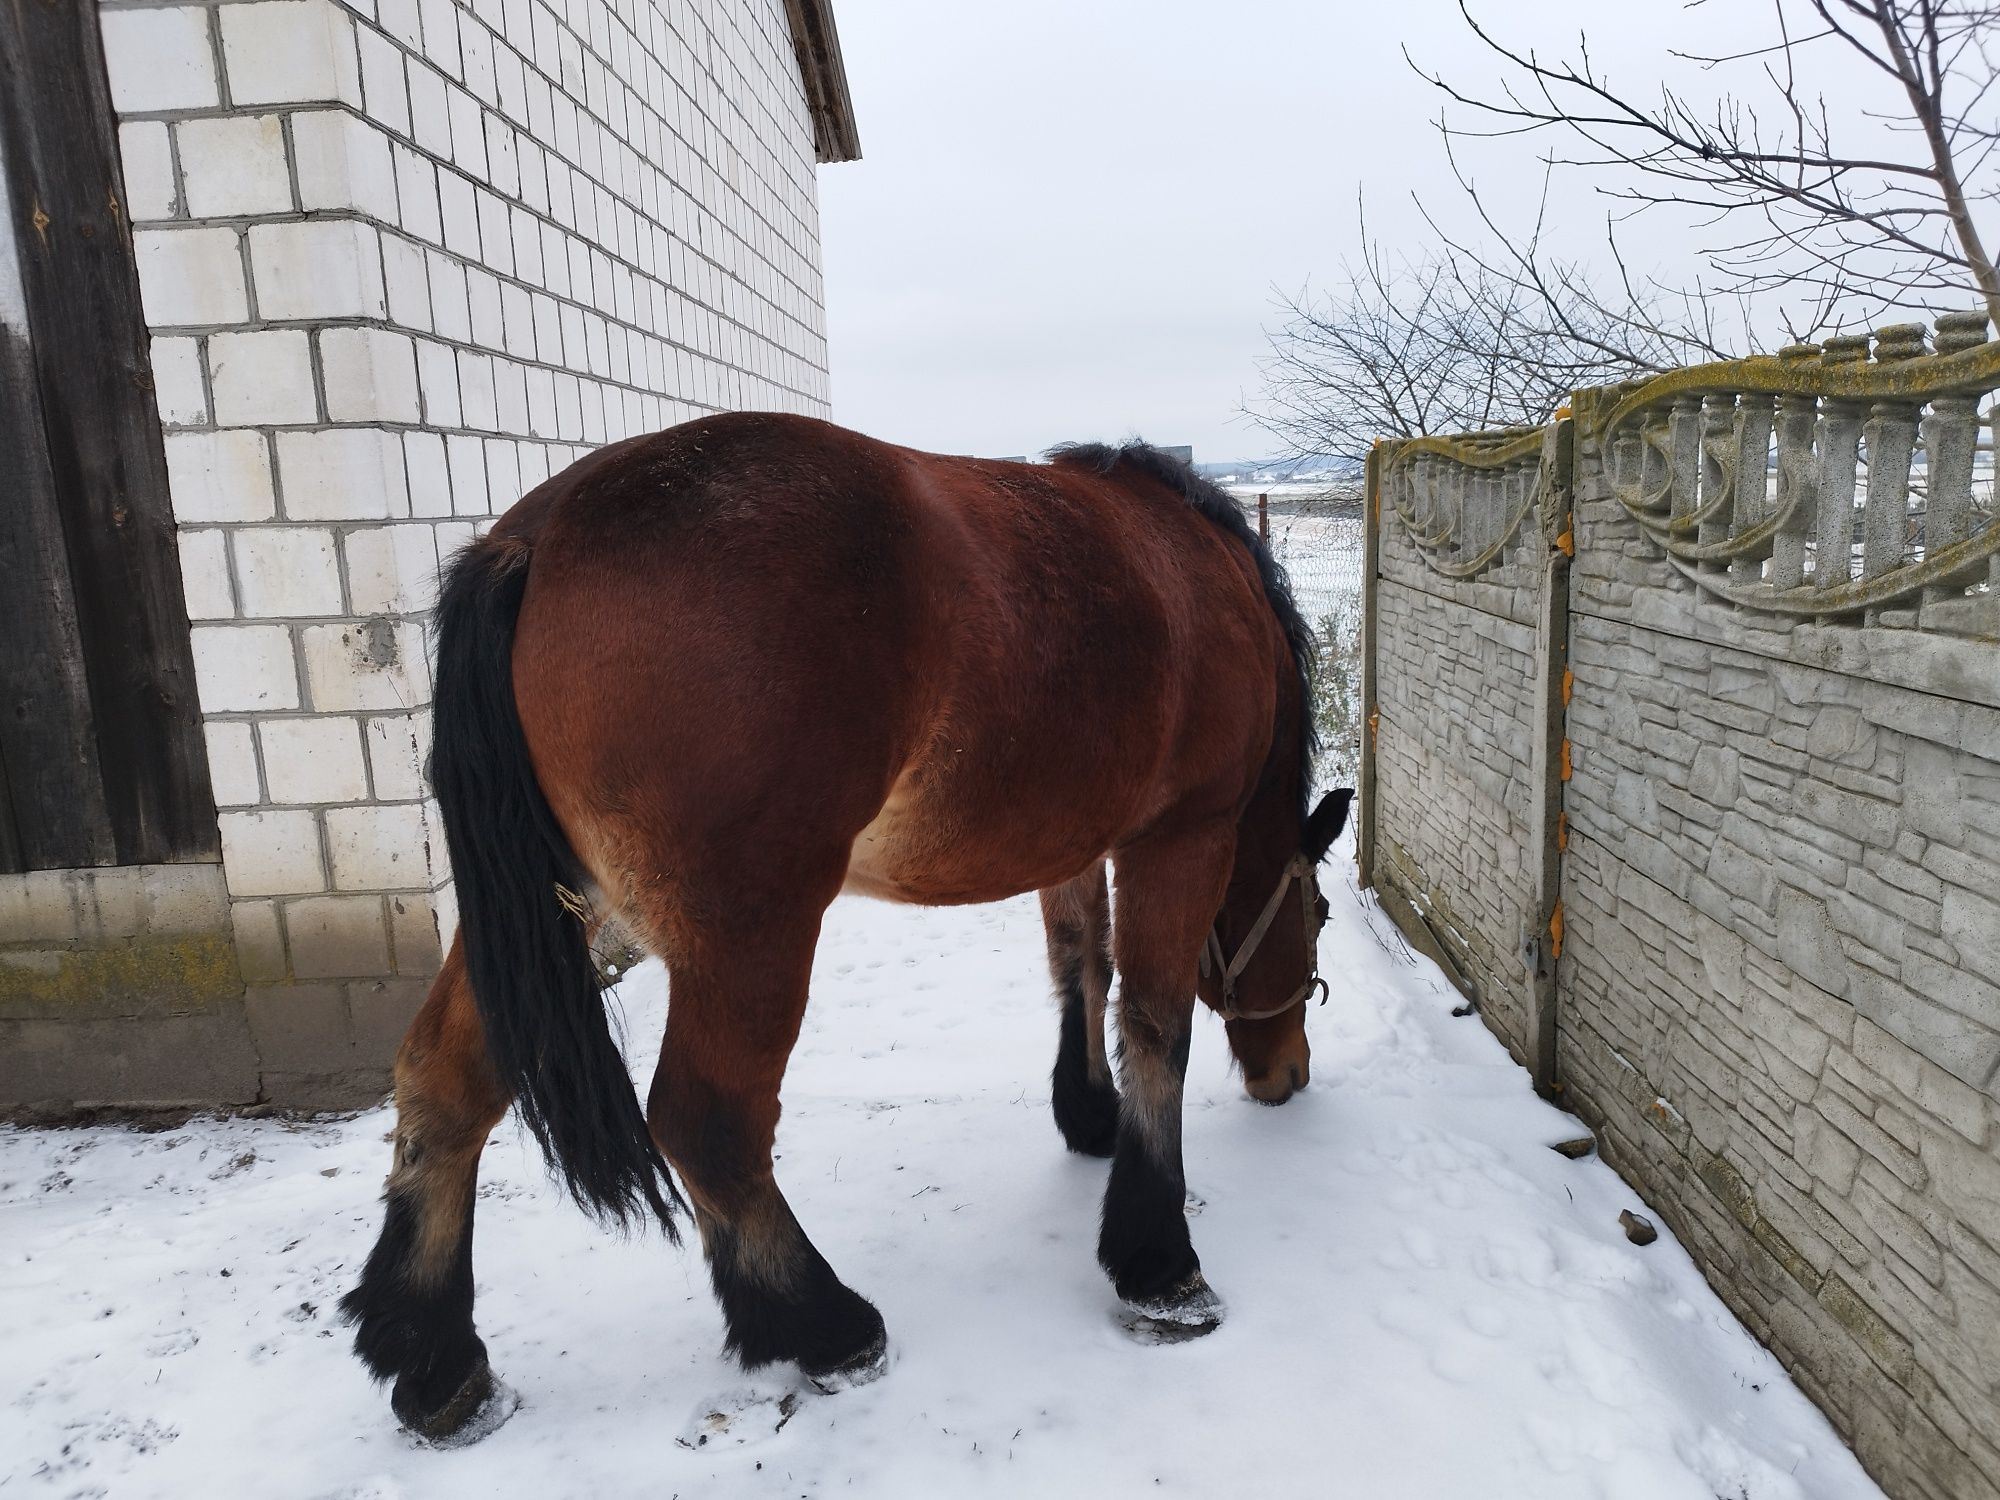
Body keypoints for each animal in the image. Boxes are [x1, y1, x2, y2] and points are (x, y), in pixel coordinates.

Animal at [340, 412, 1344, 1448]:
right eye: (1317, 915)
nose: (1289, 1073)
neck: (1197, 574)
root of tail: (534, 538)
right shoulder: (1183, 837)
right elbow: (1155, 1026)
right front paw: (1159, 1262)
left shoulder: (1077, 837)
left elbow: (1082, 965)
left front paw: (1088, 1115)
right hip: (750, 930)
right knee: (707, 1121)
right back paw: (819, 1323)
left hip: (548, 916)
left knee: (444, 1084)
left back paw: (435, 1360)